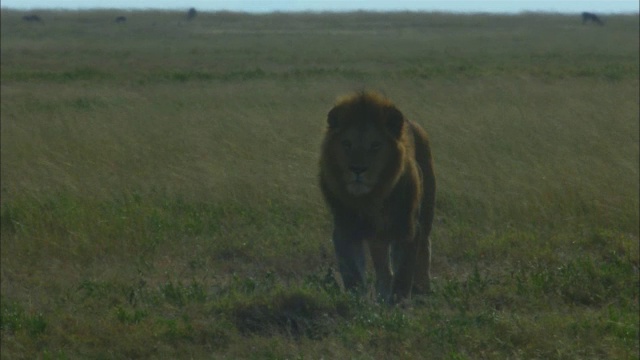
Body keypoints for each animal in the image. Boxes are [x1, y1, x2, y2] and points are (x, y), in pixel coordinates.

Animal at [320, 90, 436, 304]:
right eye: (347, 144)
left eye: (375, 145)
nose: (357, 169)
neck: (370, 197)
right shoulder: (345, 229)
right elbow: (352, 271)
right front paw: (356, 299)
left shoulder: (406, 227)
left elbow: (404, 270)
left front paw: (399, 302)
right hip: (377, 236)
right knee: (383, 269)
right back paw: (383, 293)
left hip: (426, 213)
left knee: (424, 248)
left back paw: (422, 289)